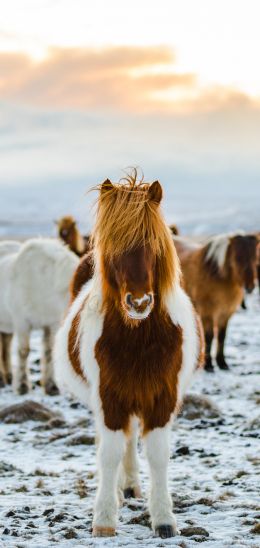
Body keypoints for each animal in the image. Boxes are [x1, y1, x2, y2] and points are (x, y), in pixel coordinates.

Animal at [0, 238, 79, 392]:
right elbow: (24, 351)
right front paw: (22, 386)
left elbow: (49, 352)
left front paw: (51, 386)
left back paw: (9, 377)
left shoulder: (51, 323)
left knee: (5, 347)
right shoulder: (22, 322)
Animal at [174, 231, 258, 372]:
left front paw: (222, 363)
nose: (250, 287)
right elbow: (210, 337)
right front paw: (209, 365)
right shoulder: (208, 313)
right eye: (237, 258)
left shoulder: (225, 314)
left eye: (255, 258)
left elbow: (222, 337)